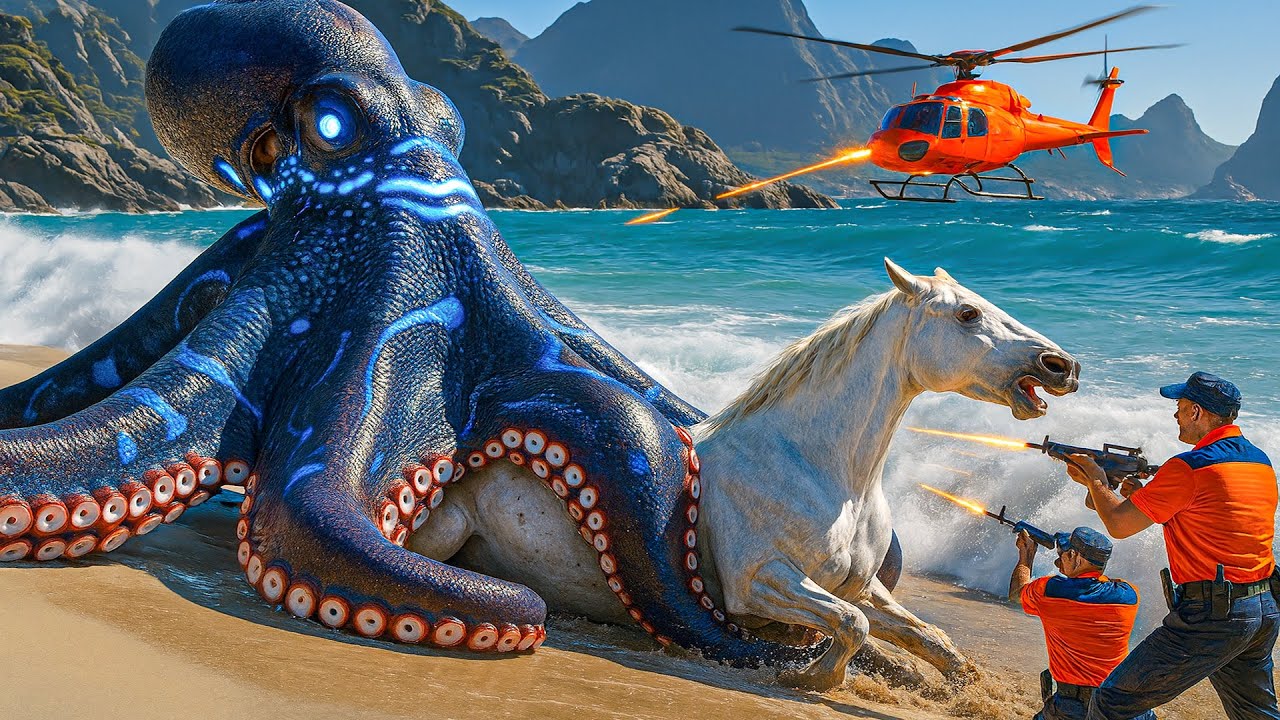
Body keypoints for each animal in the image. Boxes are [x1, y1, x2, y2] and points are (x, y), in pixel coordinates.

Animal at [409, 258, 1080, 690]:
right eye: (966, 314)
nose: (1061, 365)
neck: (819, 468)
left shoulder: (859, 585)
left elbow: (930, 638)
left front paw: (955, 689)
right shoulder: (759, 581)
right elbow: (853, 628)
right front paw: (808, 676)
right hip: (442, 529)